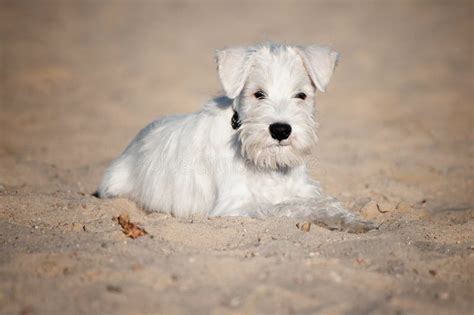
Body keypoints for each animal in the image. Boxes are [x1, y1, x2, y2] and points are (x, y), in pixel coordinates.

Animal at [97, 43, 378, 233]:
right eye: (258, 94)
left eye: (301, 95)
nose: (280, 130)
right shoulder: (236, 206)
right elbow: (289, 206)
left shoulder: (305, 189)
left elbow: (328, 202)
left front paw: (355, 221)